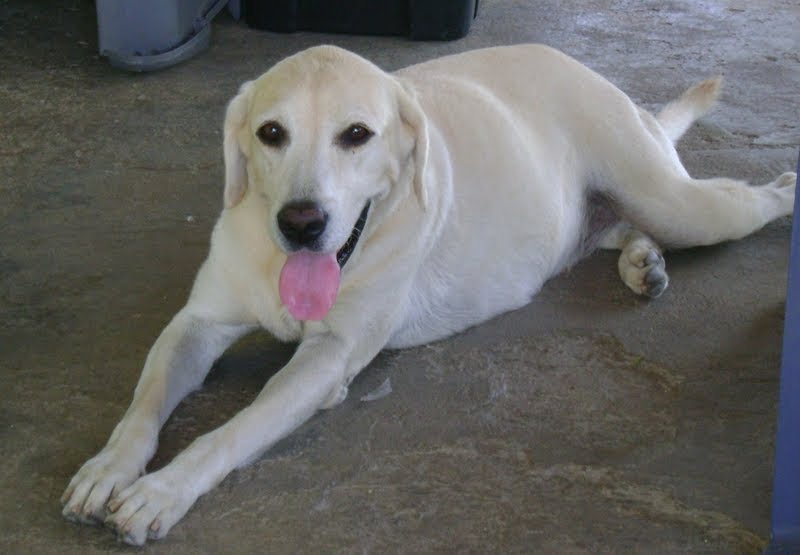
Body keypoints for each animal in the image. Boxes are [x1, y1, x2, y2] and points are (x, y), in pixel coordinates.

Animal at [61, 44, 796, 544]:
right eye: (271, 133)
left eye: (357, 135)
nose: (302, 222)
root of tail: (591, 71)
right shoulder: (196, 322)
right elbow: (144, 403)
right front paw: (108, 466)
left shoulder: (328, 359)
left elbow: (229, 432)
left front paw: (162, 489)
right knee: (619, 227)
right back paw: (644, 261)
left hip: (680, 202)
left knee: (738, 201)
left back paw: (782, 190)